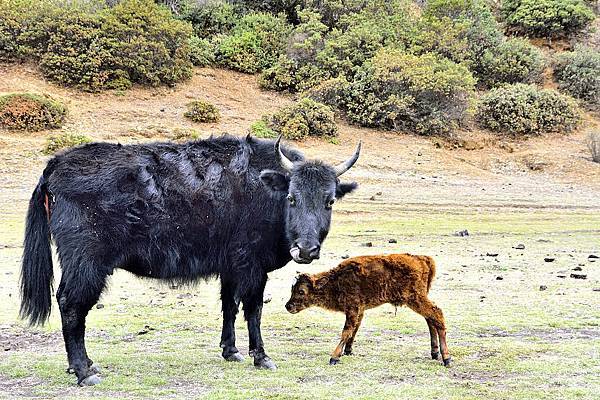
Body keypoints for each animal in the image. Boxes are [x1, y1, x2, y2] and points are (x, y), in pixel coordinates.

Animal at [286, 255, 450, 368]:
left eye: (301, 291)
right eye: (292, 289)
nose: (288, 306)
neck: (336, 281)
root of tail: (423, 258)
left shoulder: (352, 309)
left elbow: (346, 331)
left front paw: (334, 357)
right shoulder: (360, 310)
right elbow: (354, 330)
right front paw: (348, 351)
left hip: (415, 300)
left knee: (437, 315)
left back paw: (446, 358)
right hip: (420, 299)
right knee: (430, 319)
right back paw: (434, 353)